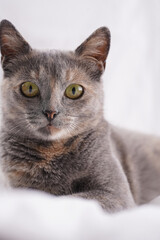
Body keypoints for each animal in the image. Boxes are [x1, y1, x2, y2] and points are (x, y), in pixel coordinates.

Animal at [0, 19, 159, 213]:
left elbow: (70, 199)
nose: (51, 112)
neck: (51, 153)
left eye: (74, 90)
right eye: (29, 88)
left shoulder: (115, 192)